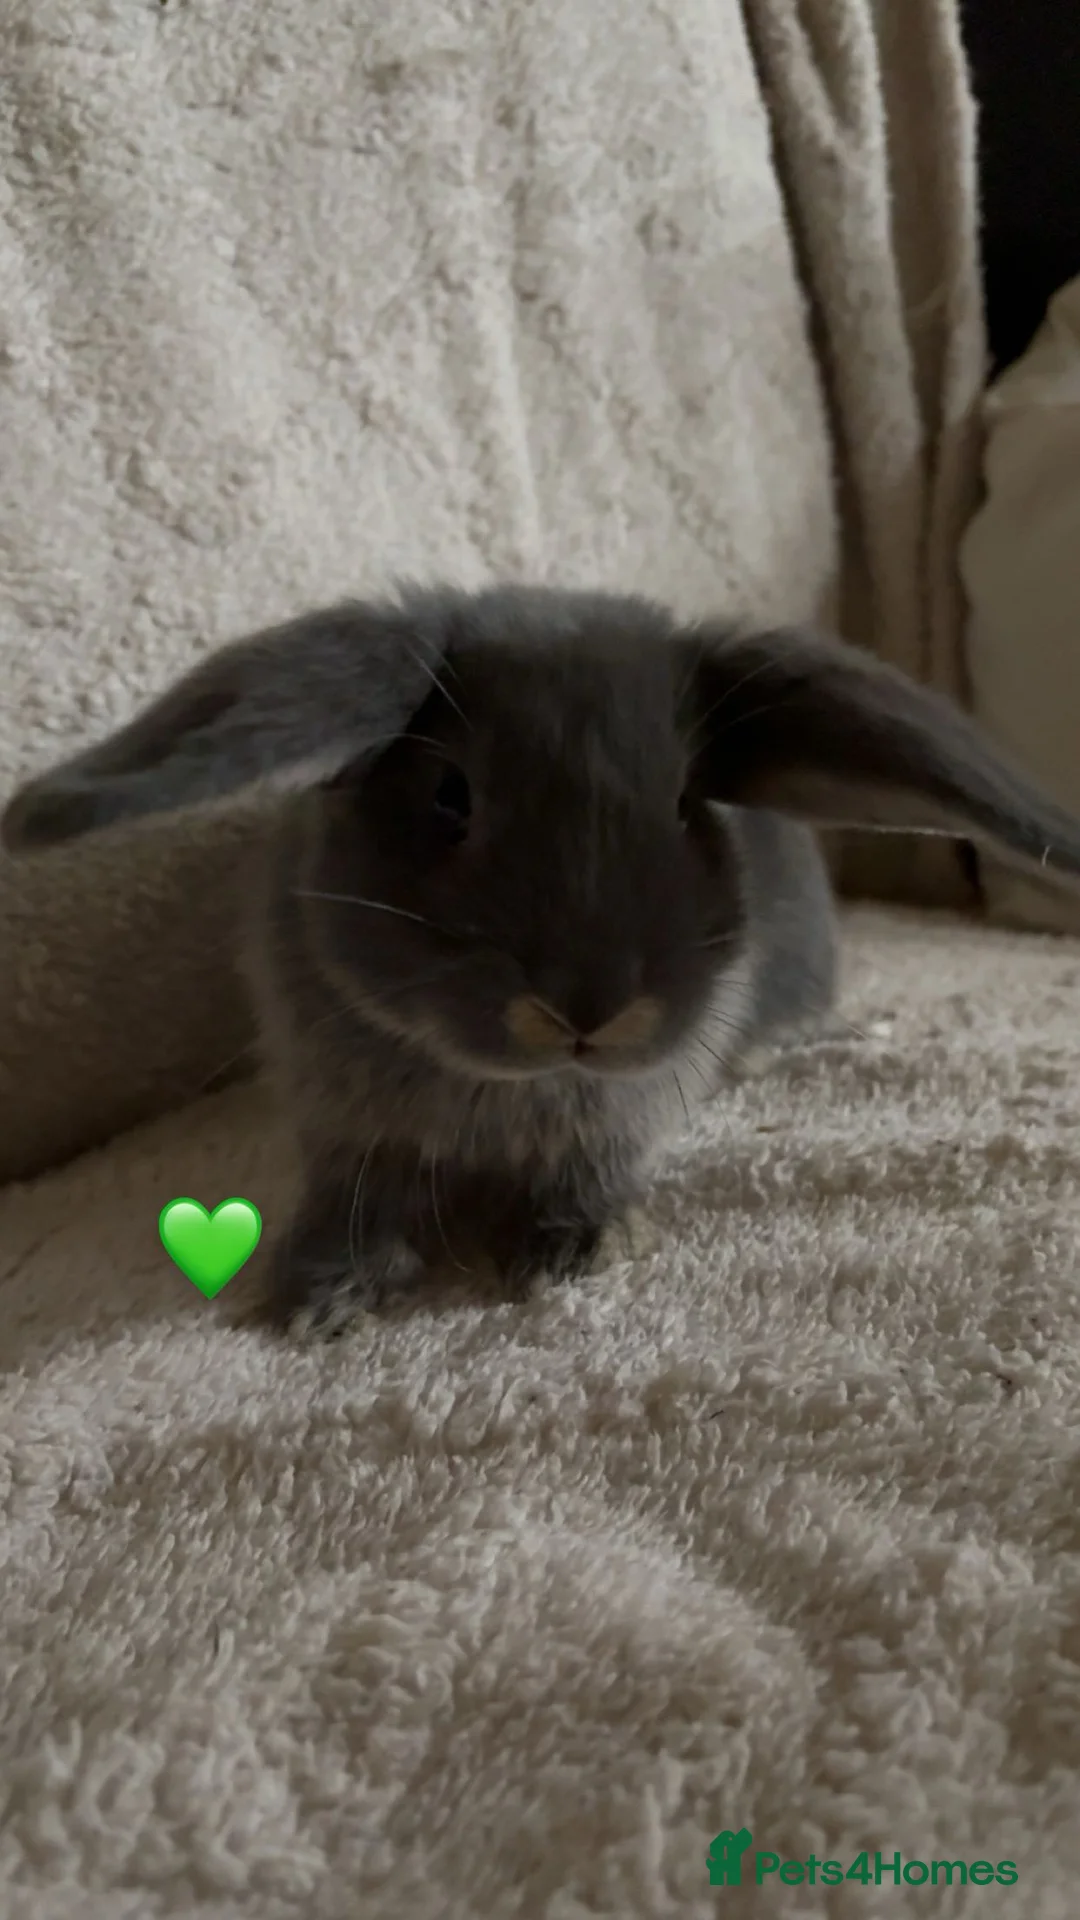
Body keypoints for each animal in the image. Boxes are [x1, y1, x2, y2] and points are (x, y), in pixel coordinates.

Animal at [8, 581, 1080, 1340]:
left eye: (686, 804)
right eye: (450, 795)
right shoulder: (347, 1126)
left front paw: (577, 1249)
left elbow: (588, 1177)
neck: (502, 1091)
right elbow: (356, 1196)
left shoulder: (618, 1122)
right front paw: (322, 1294)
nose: (588, 1011)